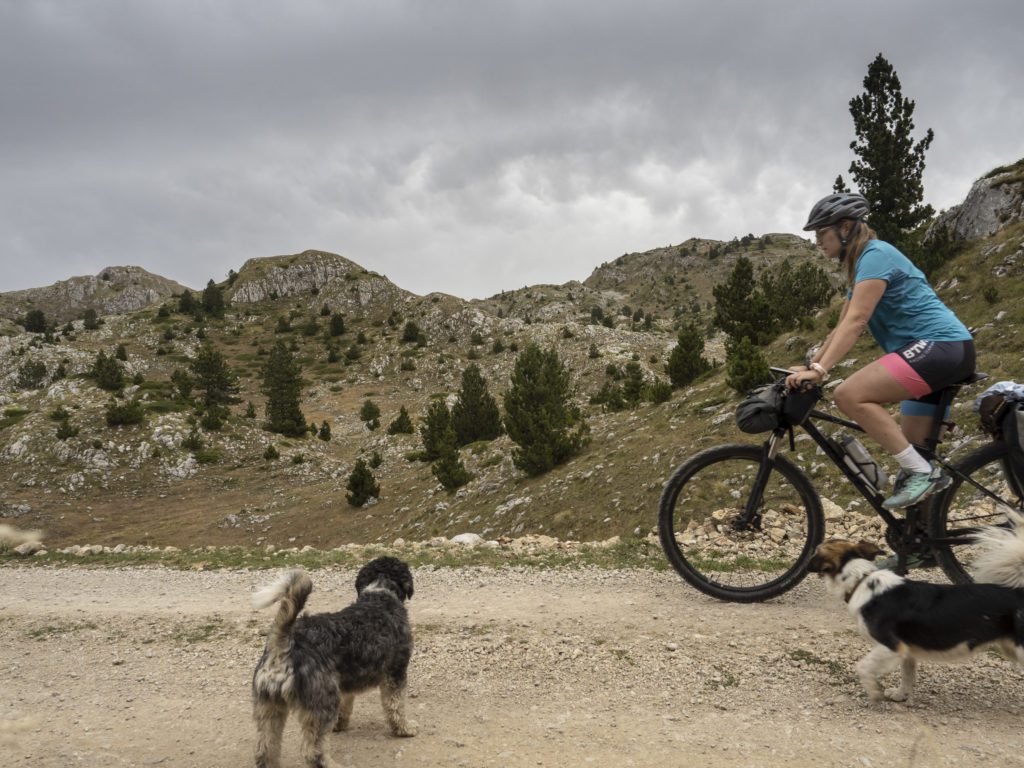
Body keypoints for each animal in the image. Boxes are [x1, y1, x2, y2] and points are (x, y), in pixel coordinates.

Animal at [251, 561, 415, 768]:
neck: (380, 594)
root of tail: (283, 646)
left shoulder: (345, 683)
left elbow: (346, 706)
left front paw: (341, 725)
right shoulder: (396, 672)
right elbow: (396, 706)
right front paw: (405, 729)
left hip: (269, 708)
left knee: (265, 750)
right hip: (323, 702)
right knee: (313, 752)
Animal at [811, 520, 1024, 708]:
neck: (861, 580)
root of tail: (1018, 593)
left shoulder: (891, 646)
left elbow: (862, 667)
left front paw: (874, 692)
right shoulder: (907, 649)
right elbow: (907, 674)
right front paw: (900, 695)